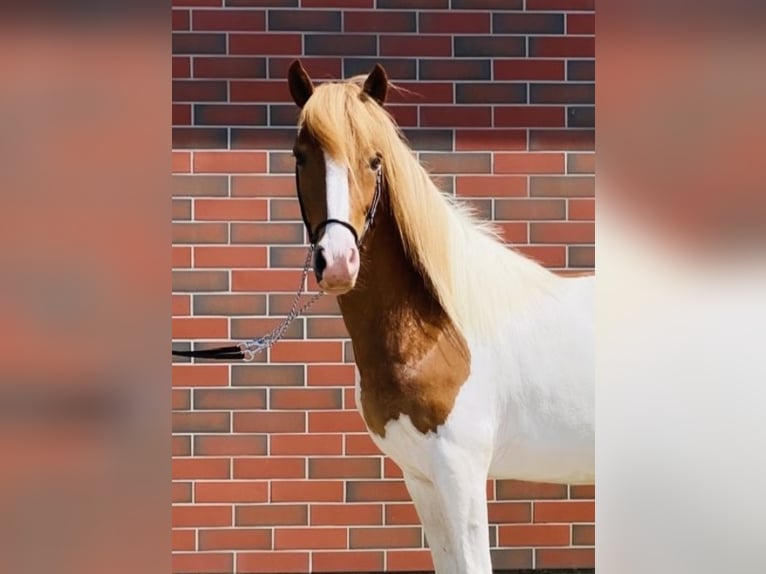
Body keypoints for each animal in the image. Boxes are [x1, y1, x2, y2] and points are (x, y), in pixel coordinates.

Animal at [290, 60, 600, 572]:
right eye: (300, 157)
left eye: (375, 161)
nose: (336, 262)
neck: (439, 332)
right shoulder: (421, 477)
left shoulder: (461, 472)